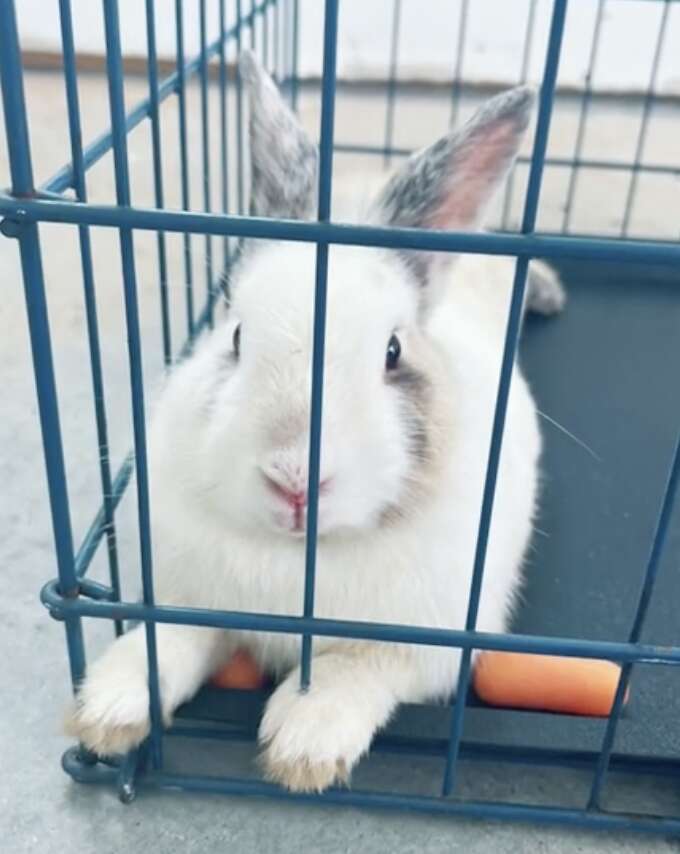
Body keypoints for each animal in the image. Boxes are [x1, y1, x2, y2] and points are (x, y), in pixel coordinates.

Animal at [65, 50, 564, 792]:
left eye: (393, 352)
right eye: (235, 334)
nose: (295, 479)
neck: (298, 562)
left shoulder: (422, 647)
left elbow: (352, 668)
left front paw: (305, 747)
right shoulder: (188, 598)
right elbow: (168, 639)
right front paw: (106, 708)